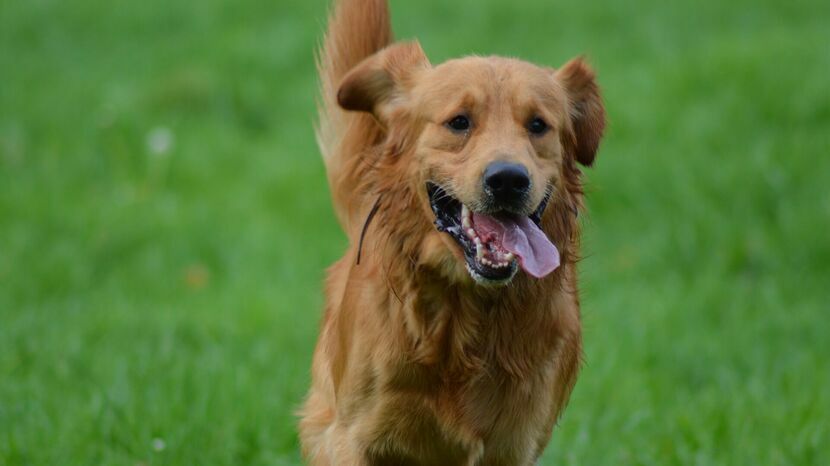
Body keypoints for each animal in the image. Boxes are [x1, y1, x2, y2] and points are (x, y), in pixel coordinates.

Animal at [300, 0, 604, 462]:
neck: (466, 310)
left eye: (538, 125)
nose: (508, 179)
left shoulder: (515, 444)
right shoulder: (349, 437)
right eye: (459, 122)